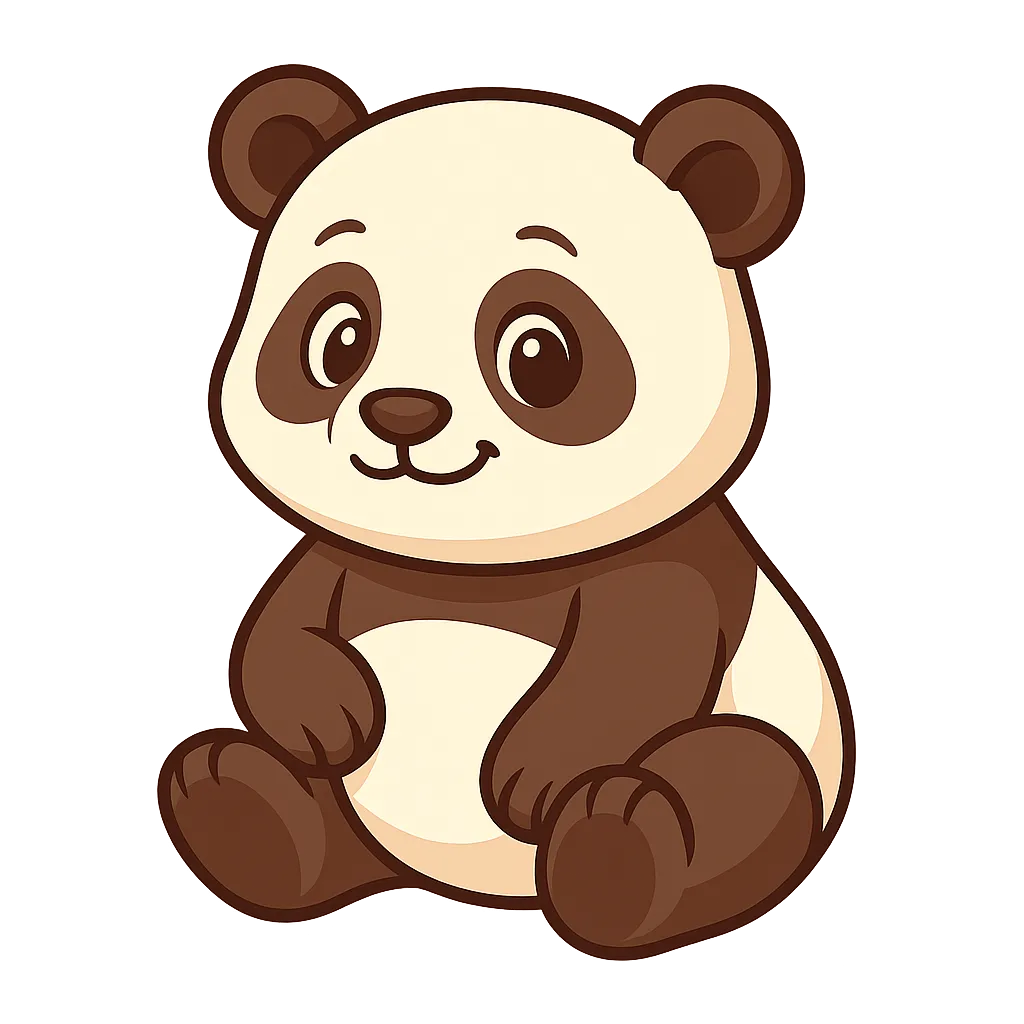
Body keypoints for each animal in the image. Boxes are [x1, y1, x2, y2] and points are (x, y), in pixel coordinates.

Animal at [159, 64, 855, 961]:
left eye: (540, 352)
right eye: (337, 335)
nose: (403, 414)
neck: (471, 567)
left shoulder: (671, 563)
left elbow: (637, 650)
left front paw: (535, 773)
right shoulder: (347, 562)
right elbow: (281, 629)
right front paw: (325, 711)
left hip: (771, 746)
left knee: (739, 777)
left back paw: (622, 850)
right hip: (360, 810)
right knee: (315, 819)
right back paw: (245, 806)